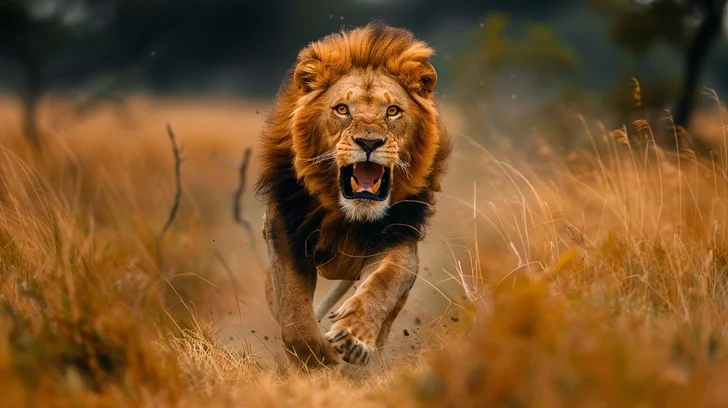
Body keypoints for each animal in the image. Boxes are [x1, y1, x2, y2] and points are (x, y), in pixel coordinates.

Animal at [255, 23, 451, 368]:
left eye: (392, 111)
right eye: (342, 109)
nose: (369, 142)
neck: (347, 215)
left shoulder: (399, 237)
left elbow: (385, 283)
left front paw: (355, 338)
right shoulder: (283, 233)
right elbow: (293, 312)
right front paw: (316, 358)